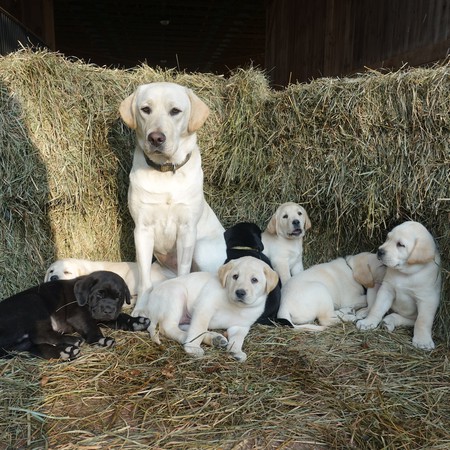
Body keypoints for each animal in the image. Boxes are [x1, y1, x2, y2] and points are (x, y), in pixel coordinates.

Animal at [0, 268, 151, 360]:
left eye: (117, 297)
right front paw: (99, 339)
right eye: (99, 294)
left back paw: (65, 351)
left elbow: (121, 317)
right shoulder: (79, 315)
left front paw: (137, 322)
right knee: (40, 335)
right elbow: (91, 326)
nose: (108, 310)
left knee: (32, 347)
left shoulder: (103, 317)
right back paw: (71, 341)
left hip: (20, 344)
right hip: (33, 301)